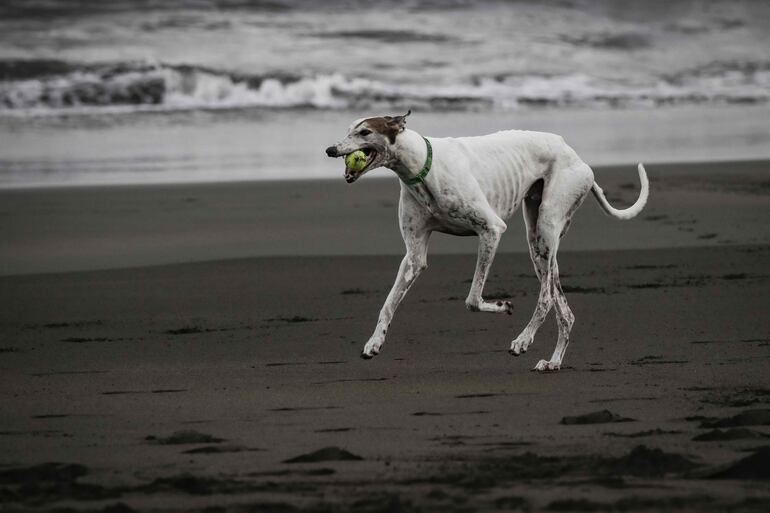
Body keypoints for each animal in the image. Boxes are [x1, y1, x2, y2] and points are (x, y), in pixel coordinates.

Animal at [320, 110, 644, 370]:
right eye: (349, 129)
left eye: (365, 132)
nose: (330, 149)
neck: (422, 166)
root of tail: (574, 154)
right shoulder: (414, 256)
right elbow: (388, 303)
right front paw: (374, 342)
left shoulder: (491, 229)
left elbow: (472, 299)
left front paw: (502, 306)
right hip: (537, 242)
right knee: (564, 310)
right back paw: (553, 362)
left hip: (548, 226)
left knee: (546, 297)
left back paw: (524, 340)